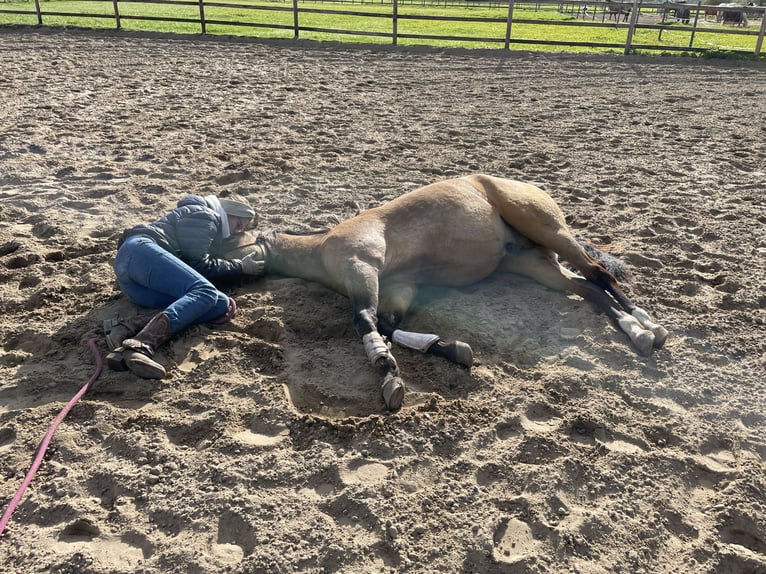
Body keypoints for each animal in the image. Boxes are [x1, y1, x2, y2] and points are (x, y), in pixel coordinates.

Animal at [223, 174, 668, 412]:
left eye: (227, 240)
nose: (220, 280)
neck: (322, 246)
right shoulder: (399, 289)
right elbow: (389, 326)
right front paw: (452, 349)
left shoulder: (363, 268)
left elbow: (365, 322)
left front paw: (387, 372)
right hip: (534, 265)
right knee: (587, 289)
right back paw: (635, 330)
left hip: (548, 230)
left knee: (597, 274)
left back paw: (646, 326)